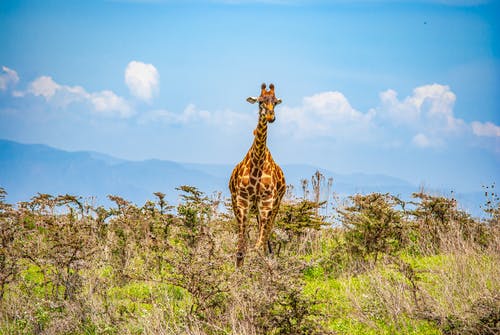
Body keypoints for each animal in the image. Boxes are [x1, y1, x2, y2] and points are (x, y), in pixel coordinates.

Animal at [229, 83, 286, 268]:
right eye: (260, 101)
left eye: (275, 102)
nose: (270, 117)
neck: (258, 165)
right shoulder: (242, 201)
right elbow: (241, 248)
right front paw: (238, 271)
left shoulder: (267, 202)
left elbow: (259, 244)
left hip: (274, 206)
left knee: (265, 238)